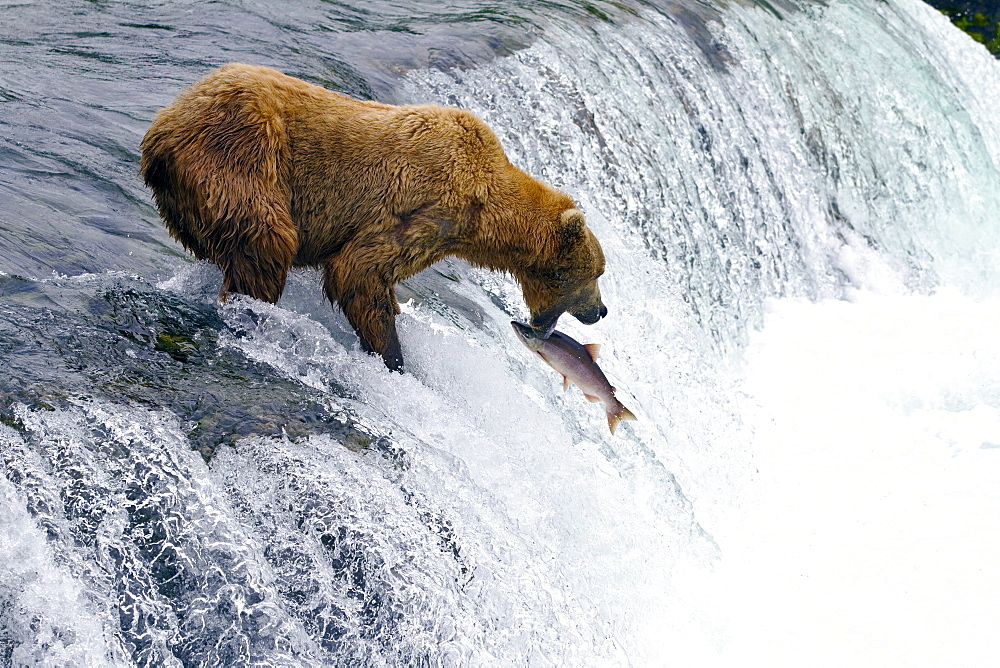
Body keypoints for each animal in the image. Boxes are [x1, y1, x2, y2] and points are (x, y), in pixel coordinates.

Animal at [139, 62, 608, 370]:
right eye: (595, 273)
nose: (600, 311)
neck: (484, 211)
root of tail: (163, 126)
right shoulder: (426, 210)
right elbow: (359, 271)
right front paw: (393, 356)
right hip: (241, 151)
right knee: (267, 239)